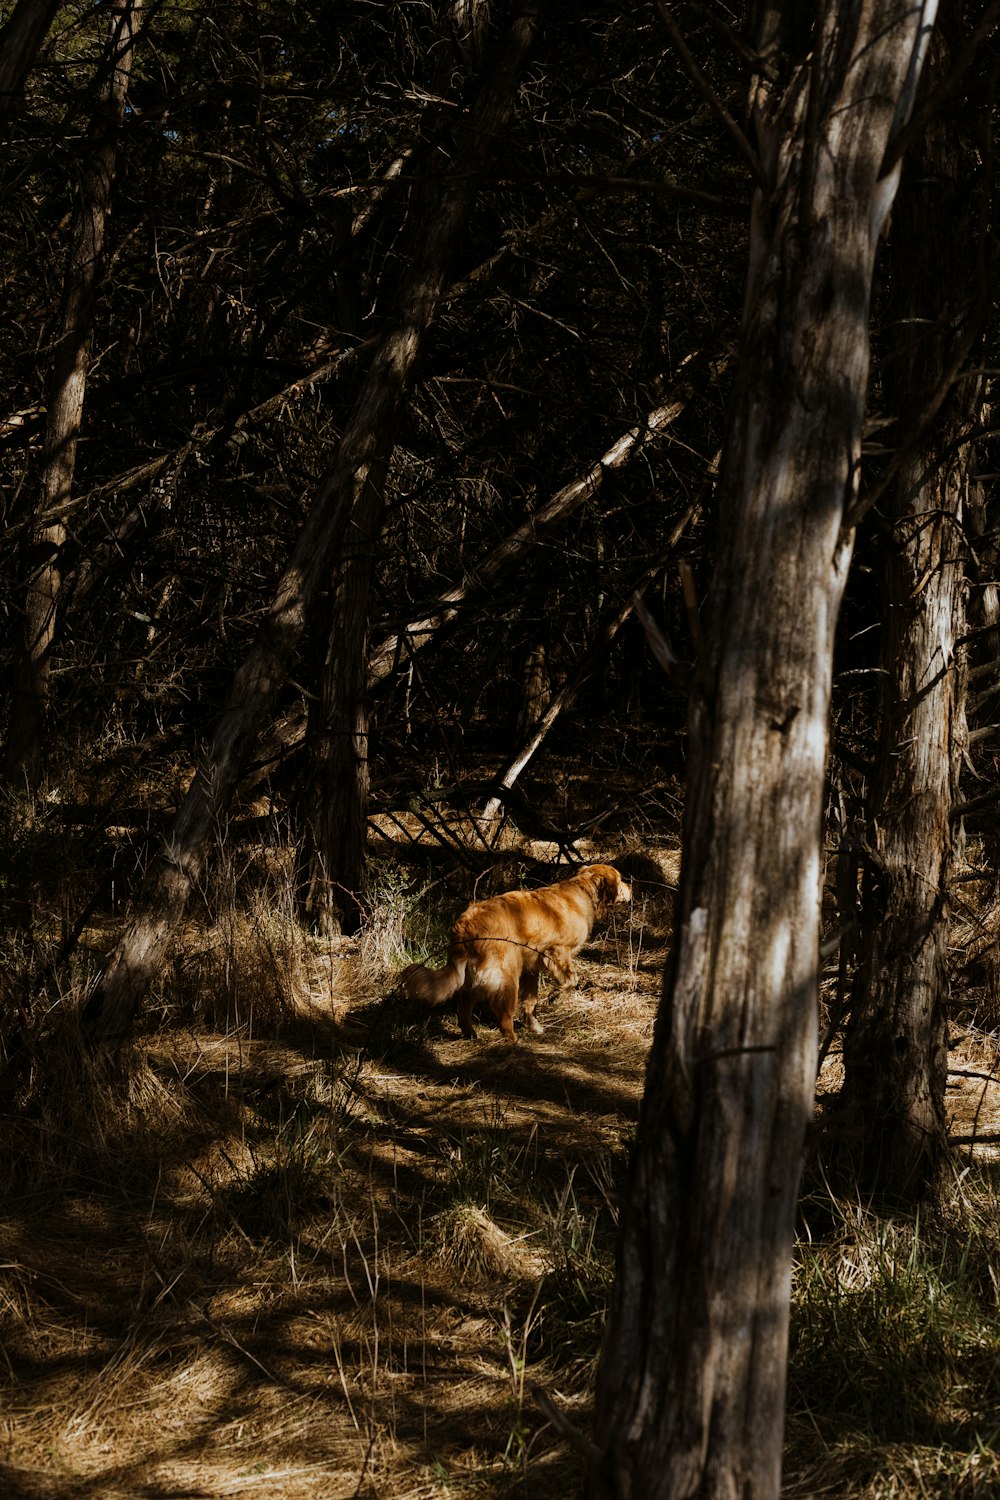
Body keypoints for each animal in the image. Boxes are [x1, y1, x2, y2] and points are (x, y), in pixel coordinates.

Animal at [401, 870, 629, 1044]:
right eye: (620, 880)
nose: (631, 886)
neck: (583, 891)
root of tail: (466, 926)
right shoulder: (557, 952)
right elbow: (571, 980)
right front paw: (555, 996)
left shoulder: (531, 969)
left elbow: (531, 1001)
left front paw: (534, 1024)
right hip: (507, 977)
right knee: (503, 1016)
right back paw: (513, 1039)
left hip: (475, 978)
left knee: (464, 1007)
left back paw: (471, 1034)